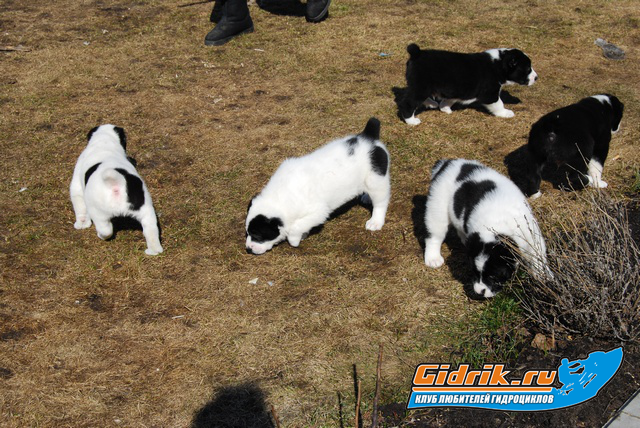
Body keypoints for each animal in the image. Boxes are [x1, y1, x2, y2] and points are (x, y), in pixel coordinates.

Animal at [70, 124, 163, 255]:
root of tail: (117, 183)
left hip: (98, 213)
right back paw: (153, 250)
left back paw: (101, 235)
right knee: (151, 231)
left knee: (106, 230)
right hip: (146, 211)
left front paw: (82, 224)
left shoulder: (76, 186)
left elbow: (80, 206)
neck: (104, 142)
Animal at [245, 117, 390, 255]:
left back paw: (375, 221)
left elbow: (295, 227)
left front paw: (294, 240)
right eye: (247, 233)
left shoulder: (318, 212)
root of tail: (368, 138)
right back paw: (366, 197)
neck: (281, 196)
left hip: (376, 180)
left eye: (257, 235)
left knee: (380, 203)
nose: (248, 249)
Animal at [399, 44, 537, 125]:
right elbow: (499, 104)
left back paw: (432, 103)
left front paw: (445, 108)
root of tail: (416, 53)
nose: (536, 78)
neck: (499, 64)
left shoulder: (457, 90)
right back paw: (412, 120)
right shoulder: (490, 94)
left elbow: (449, 100)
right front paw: (506, 113)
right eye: (527, 69)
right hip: (421, 87)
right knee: (409, 103)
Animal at [423, 159, 549, 298]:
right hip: (438, 206)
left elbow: (537, 256)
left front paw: (544, 277)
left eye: (493, 276)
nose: (479, 292)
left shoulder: (530, 234)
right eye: (474, 272)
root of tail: (446, 163)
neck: (499, 223)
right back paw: (433, 258)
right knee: (435, 235)